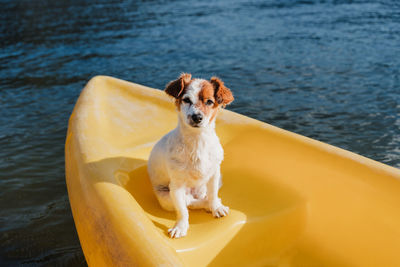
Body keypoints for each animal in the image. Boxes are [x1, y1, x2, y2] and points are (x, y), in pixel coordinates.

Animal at [148, 73, 234, 239]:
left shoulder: (214, 174)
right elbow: (182, 210)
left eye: (209, 101)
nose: (197, 117)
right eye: (186, 100)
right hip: (166, 197)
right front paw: (180, 227)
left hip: (204, 186)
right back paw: (205, 205)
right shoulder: (176, 187)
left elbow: (213, 194)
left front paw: (216, 207)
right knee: (190, 203)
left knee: (203, 197)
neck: (197, 141)